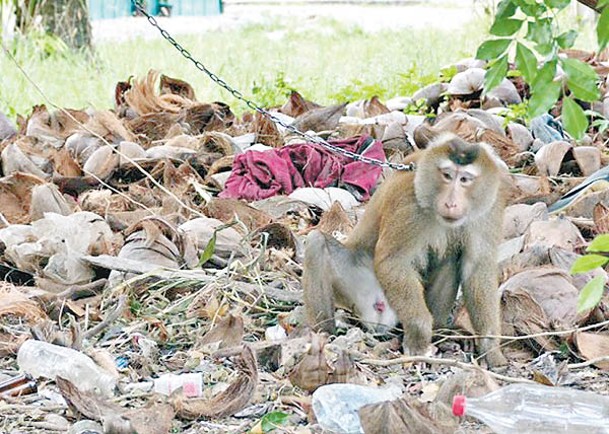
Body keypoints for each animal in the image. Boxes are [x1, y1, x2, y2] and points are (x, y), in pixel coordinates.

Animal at [304, 132, 508, 366]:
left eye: (464, 179)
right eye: (447, 176)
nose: (451, 203)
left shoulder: (489, 209)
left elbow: (477, 269)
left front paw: (491, 349)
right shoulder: (408, 202)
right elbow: (393, 262)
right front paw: (419, 337)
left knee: (450, 257)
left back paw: (440, 332)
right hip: (358, 285)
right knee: (316, 243)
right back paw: (324, 334)